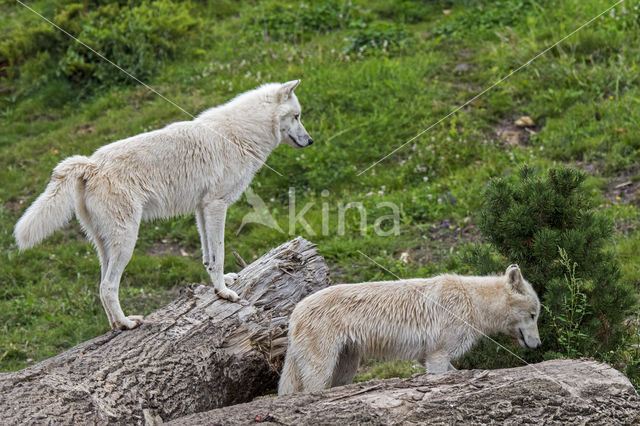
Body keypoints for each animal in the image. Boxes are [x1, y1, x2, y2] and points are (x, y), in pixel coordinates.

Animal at [13, 81, 314, 332]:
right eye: (297, 116)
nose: (311, 141)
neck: (240, 133)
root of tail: (91, 164)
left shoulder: (202, 208)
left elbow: (208, 257)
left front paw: (222, 284)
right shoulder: (216, 206)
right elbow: (219, 253)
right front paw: (224, 293)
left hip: (105, 245)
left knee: (100, 287)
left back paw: (116, 325)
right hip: (126, 241)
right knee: (108, 286)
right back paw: (127, 323)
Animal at [278, 264, 540, 394]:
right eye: (533, 315)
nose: (538, 345)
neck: (473, 302)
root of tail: (294, 313)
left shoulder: (427, 356)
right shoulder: (438, 353)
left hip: (348, 362)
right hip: (322, 362)